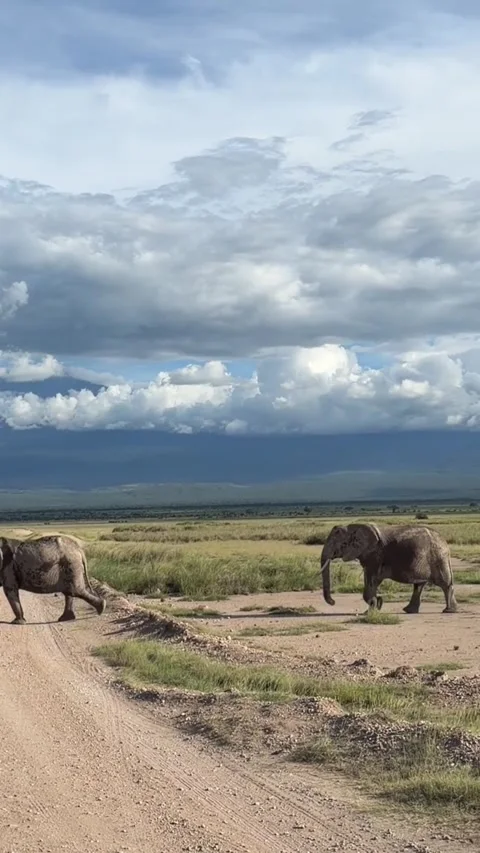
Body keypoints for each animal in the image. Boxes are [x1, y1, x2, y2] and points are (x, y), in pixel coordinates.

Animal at [320, 522, 457, 614]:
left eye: (341, 544)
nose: (333, 602)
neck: (353, 528)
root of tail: (445, 542)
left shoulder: (375, 555)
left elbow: (372, 580)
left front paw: (375, 606)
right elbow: (370, 581)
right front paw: (373, 608)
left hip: (438, 557)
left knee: (444, 583)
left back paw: (448, 611)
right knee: (419, 585)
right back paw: (409, 610)